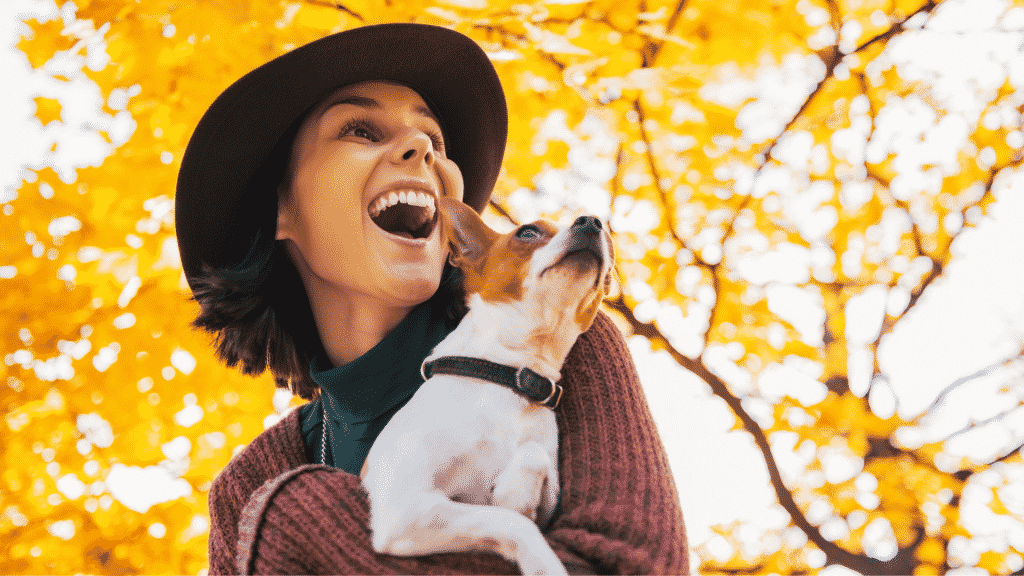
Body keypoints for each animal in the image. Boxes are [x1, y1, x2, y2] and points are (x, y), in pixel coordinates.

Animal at [360, 194, 610, 569]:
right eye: (528, 232)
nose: (593, 221)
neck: (509, 374)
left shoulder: (548, 497)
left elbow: (533, 457)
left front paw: (513, 493)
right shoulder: (406, 509)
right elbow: (514, 524)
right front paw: (543, 562)